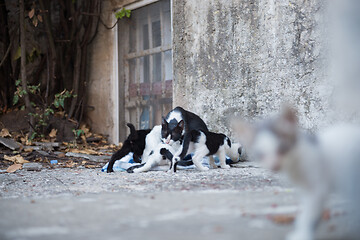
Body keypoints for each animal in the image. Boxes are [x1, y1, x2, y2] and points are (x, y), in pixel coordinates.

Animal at [233, 106, 360, 240]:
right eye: (261, 154)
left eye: (282, 148)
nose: (274, 165)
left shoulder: (317, 187)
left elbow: (311, 212)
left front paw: (303, 234)